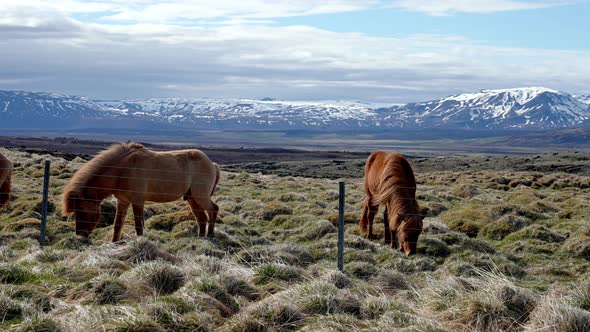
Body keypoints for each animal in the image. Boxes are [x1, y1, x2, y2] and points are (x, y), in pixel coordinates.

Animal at [62, 143, 221, 241]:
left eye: (82, 210)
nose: (80, 235)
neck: (122, 171)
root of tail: (212, 164)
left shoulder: (138, 201)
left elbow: (139, 225)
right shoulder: (123, 202)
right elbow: (117, 225)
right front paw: (114, 243)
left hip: (201, 196)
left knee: (213, 209)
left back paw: (211, 235)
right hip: (192, 198)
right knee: (201, 218)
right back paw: (201, 238)